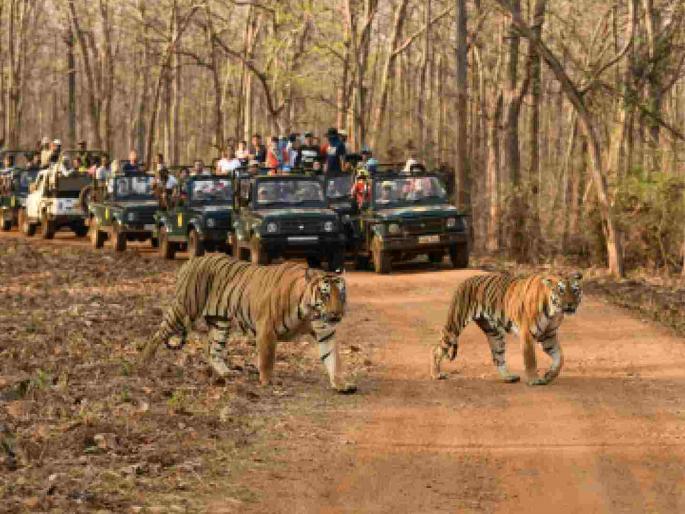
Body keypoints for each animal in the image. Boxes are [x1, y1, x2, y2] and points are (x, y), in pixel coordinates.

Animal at [140, 254, 357, 394]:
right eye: (325, 294)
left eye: (341, 294)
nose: (337, 314)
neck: (309, 312)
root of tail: (191, 261)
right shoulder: (267, 330)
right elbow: (267, 359)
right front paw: (268, 382)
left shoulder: (326, 332)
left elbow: (333, 359)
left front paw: (341, 384)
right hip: (185, 307)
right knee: (158, 334)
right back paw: (144, 362)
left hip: (220, 322)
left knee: (213, 350)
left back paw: (227, 373)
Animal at [431, 271, 583, 386]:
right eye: (561, 290)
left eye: (575, 290)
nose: (570, 304)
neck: (554, 312)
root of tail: (465, 281)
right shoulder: (527, 333)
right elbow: (531, 359)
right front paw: (534, 380)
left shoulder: (548, 336)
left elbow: (560, 357)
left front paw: (549, 375)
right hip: (454, 326)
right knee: (437, 349)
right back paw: (436, 374)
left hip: (494, 334)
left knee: (498, 357)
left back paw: (508, 377)